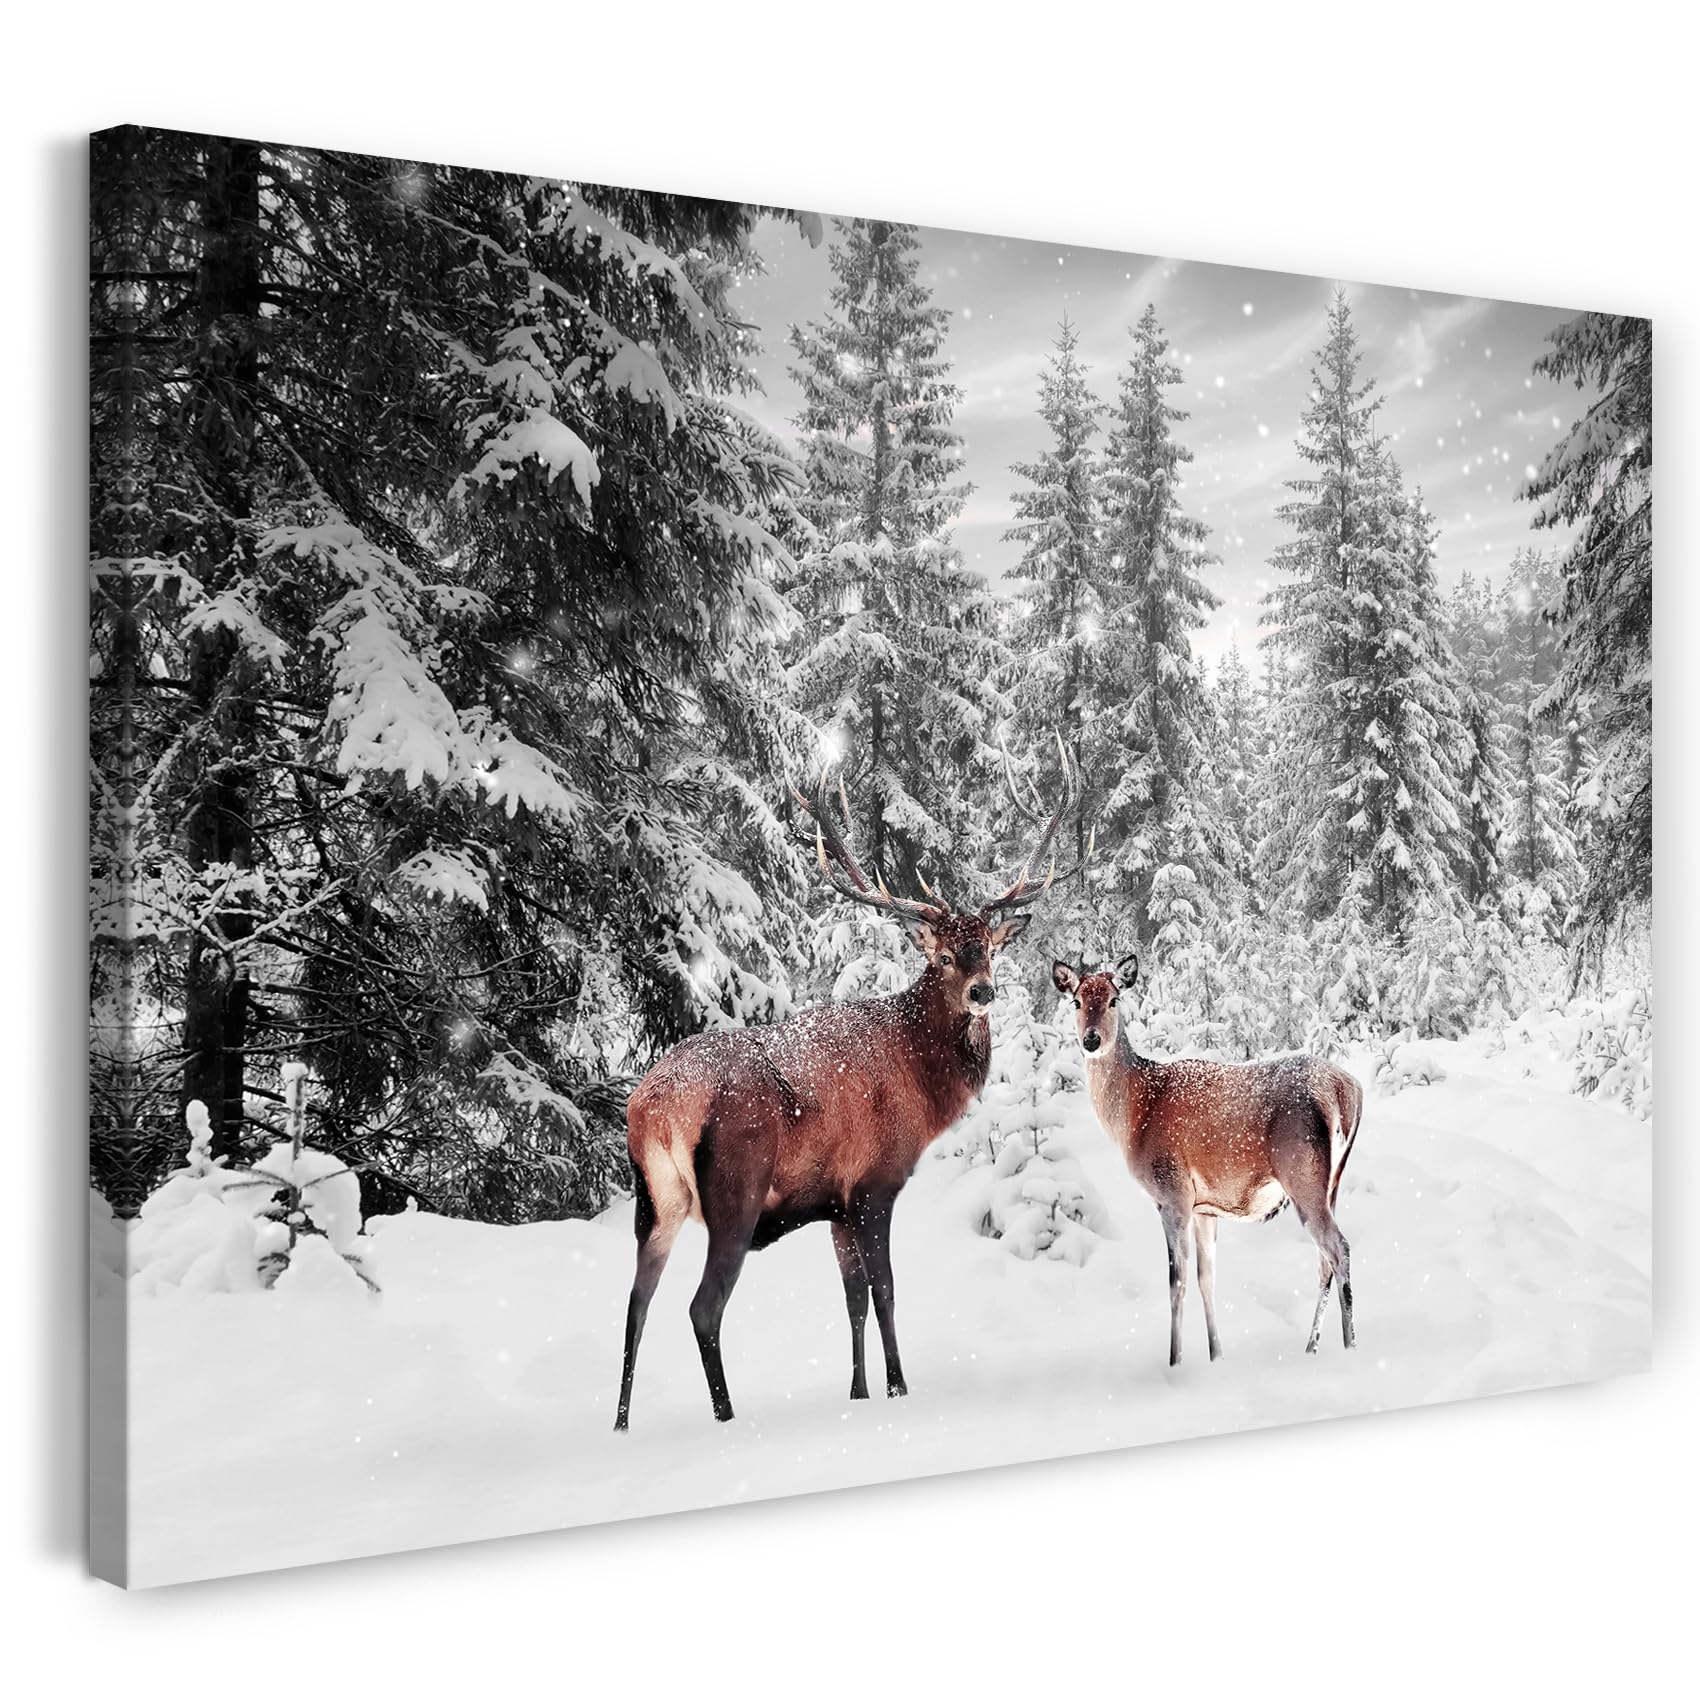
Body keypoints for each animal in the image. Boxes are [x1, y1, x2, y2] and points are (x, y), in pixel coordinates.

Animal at [614, 746, 1081, 1430]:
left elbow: (852, 1299)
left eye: (989, 950)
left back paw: (621, 1421)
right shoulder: (873, 1186)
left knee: (635, 1302)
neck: (921, 1085)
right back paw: (727, 1418)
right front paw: (899, 1388)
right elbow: (884, 1292)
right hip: (735, 1191)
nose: (983, 991)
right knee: (702, 1307)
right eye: (943, 957)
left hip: (655, 1201)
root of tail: (654, 1105)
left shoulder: (833, 1205)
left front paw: (858, 1393)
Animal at [1051, 955, 1364, 1367]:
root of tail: (1347, 1091)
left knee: (1338, 1249)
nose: (1091, 1040)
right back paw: (1311, 1346)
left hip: (1303, 1173)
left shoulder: (1172, 1192)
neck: (1135, 1112)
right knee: (1323, 1260)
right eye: (1076, 1001)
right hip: (1333, 1182)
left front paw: (1175, 1361)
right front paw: (1217, 1356)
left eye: (1114, 999)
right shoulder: (1205, 1208)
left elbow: (1177, 1281)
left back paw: (1349, 1348)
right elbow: (1206, 1278)